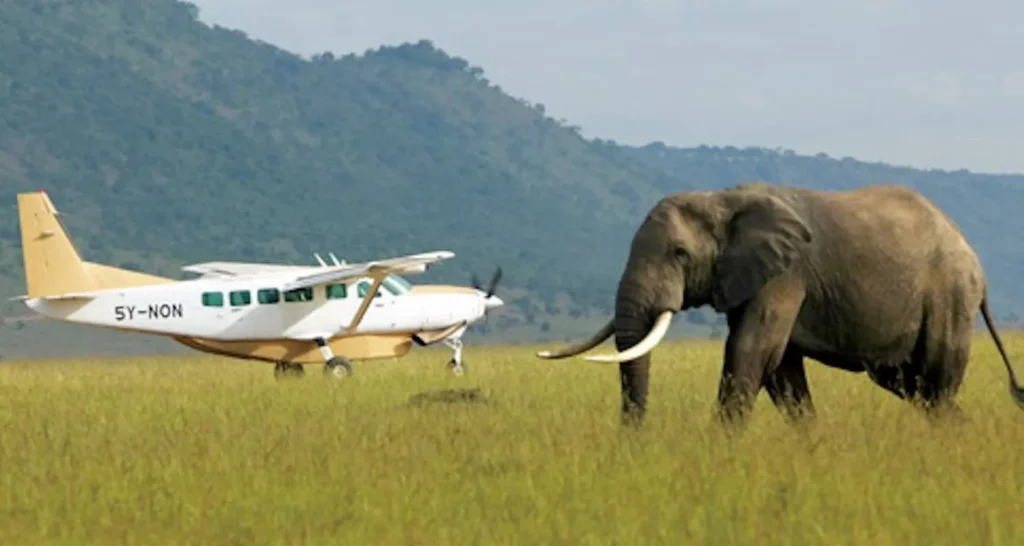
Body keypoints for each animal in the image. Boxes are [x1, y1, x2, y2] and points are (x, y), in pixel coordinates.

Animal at [536, 181, 1024, 424]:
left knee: (935, 383)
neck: (722, 199)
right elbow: (781, 368)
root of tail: (976, 263)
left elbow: (752, 351)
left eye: (679, 254)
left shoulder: (786, 274)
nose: (634, 443)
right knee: (912, 385)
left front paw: (719, 451)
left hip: (949, 295)